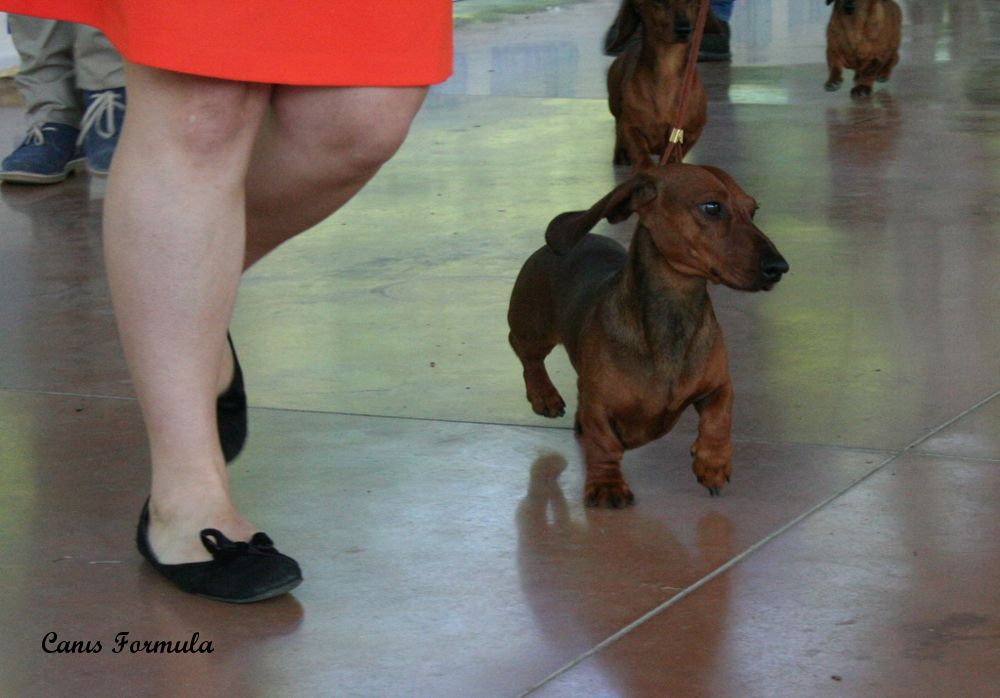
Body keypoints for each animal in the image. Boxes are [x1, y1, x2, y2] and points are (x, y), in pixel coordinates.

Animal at [512, 166, 784, 508]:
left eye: (753, 210)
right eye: (712, 207)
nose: (779, 268)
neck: (673, 317)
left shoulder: (719, 385)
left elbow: (719, 420)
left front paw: (712, 464)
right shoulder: (599, 405)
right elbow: (604, 443)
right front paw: (606, 484)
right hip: (533, 329)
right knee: (527, 356)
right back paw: (544, 396)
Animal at [604, 0, 708, 166]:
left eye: (691, 2)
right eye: (659, 2)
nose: (684, 30)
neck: (668, 66)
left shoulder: (692, 131)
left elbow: (674, 152)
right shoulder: (630, 127)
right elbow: (639, 152)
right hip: (614, 104)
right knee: (617, 128)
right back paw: (621, 154)